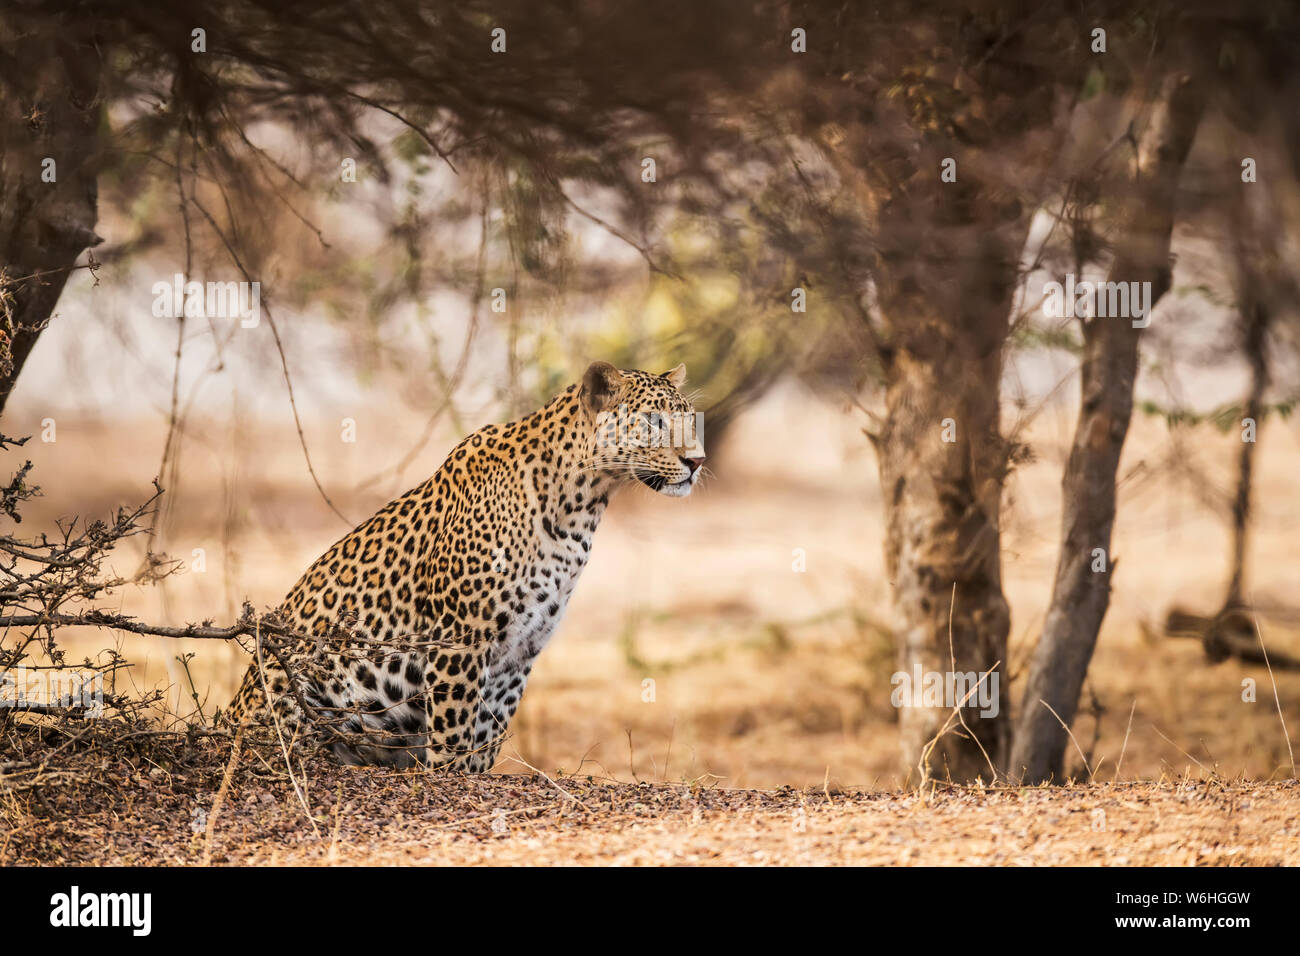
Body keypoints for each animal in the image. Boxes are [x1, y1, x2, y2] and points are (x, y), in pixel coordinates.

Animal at [226, 361, 712, 775]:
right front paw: (447, 777)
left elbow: (485, 737)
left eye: (690, 421)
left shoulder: (519, 653)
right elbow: (454, 733)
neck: (581, 505)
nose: (697, 461)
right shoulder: (460, 640)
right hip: (290, 679)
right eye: (654, 422)